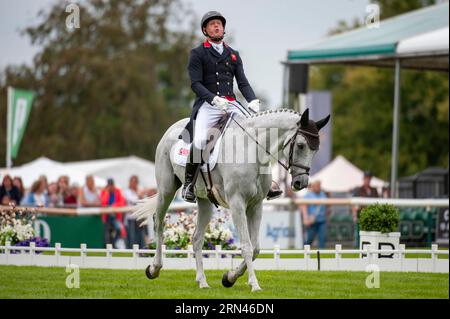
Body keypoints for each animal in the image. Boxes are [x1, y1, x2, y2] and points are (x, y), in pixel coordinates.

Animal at [132, 109, 328, 292]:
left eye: (316, 150)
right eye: (301, 145)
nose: (301, 183)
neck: (252, 150)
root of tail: (172, 128)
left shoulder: (256, 205)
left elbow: (255, 248)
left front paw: (230, 277)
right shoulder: (237, 203)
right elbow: (247, 246)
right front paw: (254, 284)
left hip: (205, 201)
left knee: (196, 238)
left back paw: (202, 281)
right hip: (166, 190)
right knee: (159, 223)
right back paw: (154, 268)